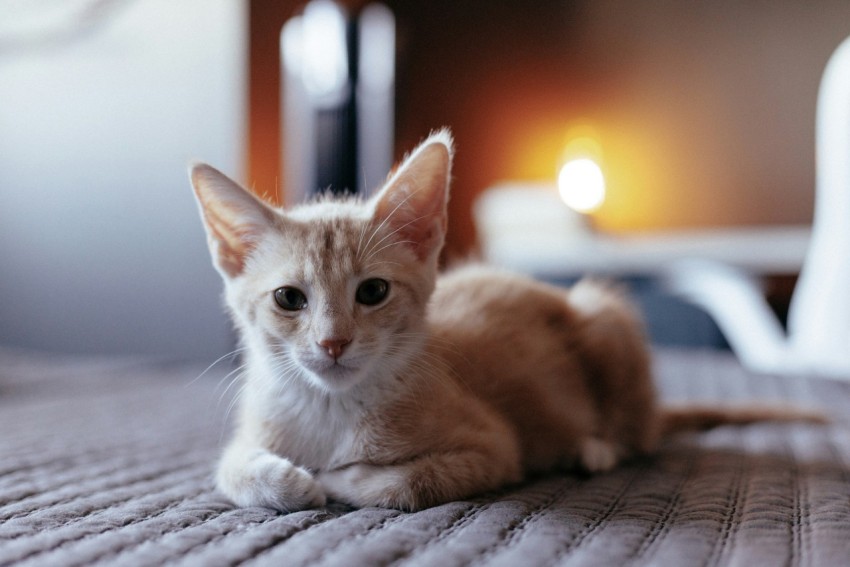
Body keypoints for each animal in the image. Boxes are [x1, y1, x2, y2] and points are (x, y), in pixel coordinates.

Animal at [187, 131, 820, 512]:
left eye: (372, 292)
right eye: (289, 299)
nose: (333, 342)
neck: (331, 408)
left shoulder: (494, 446)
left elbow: (397, 483)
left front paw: (336, 479)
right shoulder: (250, 433)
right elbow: (230, 469)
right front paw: (291, 480)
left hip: (604, 318)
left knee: (634, 434)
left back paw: (593, 448)